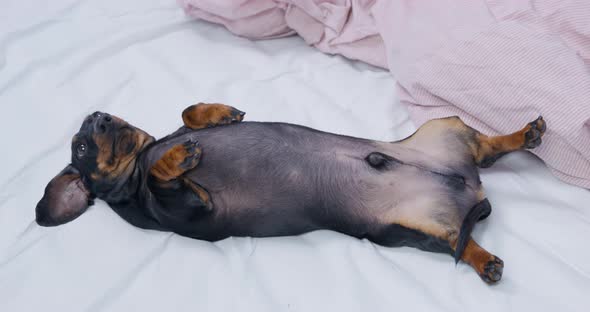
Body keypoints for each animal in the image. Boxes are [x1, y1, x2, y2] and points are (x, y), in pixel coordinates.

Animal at [34, 103, 548, 284]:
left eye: (90, 131)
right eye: (81, 146)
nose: (99, 116)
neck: (138, 162)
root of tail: (469, 187)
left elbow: (187, 114)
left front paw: (218, 114)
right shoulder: (192, 206)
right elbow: (165, 175)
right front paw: (178, 157)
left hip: (445, 127)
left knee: (486, 150)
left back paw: (524, 135)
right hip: (412, 229)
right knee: (461, 238)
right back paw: (486, 261)